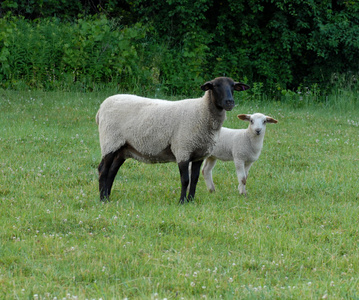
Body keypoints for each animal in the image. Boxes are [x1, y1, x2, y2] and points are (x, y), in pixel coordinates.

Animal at [95, 77, 250, 204]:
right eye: (215, 86)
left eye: (232, 86)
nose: (229, 102)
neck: (202, 111)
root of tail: (101, 107)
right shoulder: (183, 149)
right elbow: (185, 180)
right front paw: (182, 202)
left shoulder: (199, 153)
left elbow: (194, 179)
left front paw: (191, 201)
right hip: (110, 142)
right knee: (103, 169)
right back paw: (102, 199)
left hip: (122, 148)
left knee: (112, 171)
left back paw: (108, 197)